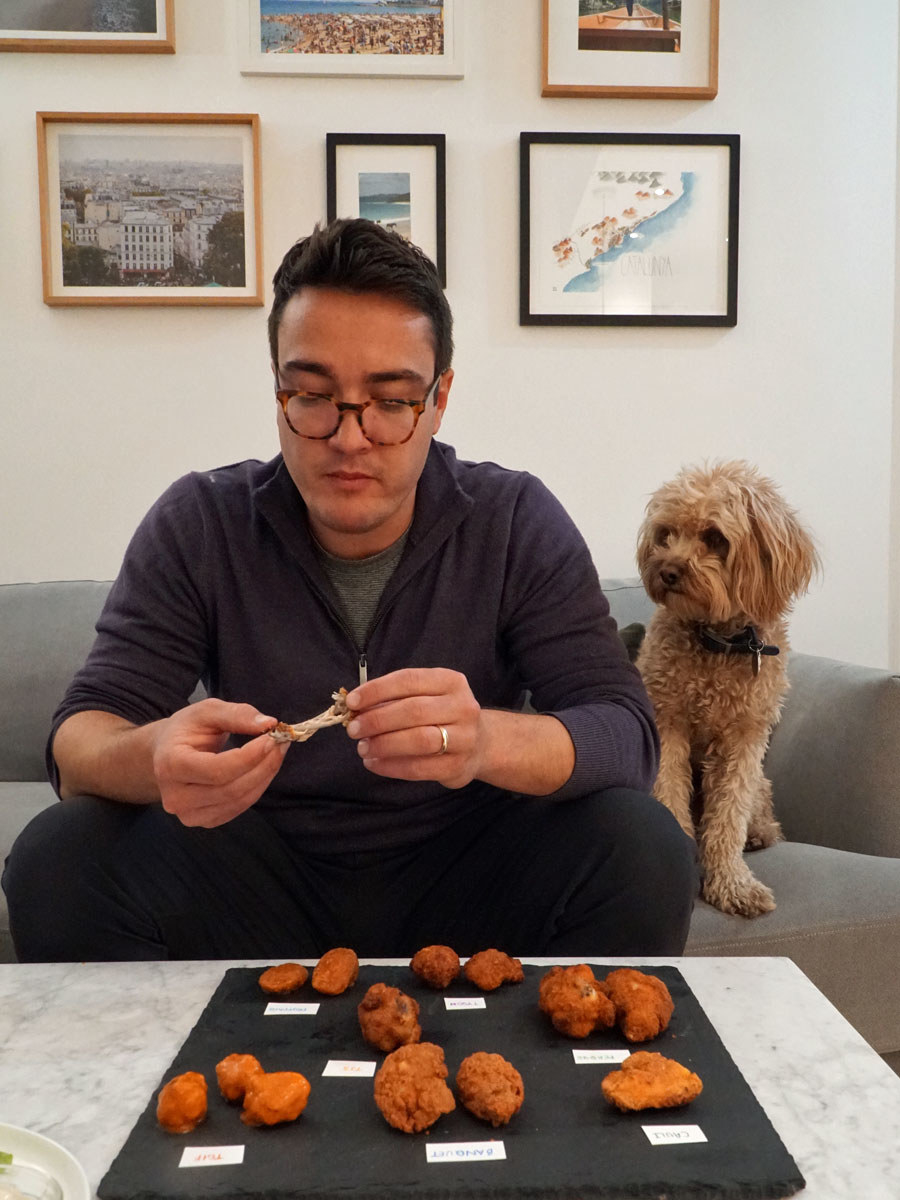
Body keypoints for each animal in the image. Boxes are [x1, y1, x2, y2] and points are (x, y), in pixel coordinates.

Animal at [638, 460, 820, 916]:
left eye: (715, 537)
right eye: (666, 534)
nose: (666, 570)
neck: (719, 643)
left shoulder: (744, 739)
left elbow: (728, 817)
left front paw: (733, 884)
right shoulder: (668, 721)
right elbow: (669, 792)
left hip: (759, 778)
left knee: (758, 806)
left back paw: (759, 833)